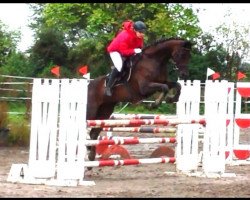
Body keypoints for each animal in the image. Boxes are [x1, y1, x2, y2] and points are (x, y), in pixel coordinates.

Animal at [87, 38, 192, 167]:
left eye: (189, 56)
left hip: (105, 112)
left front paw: (172, 99)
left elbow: (175, 85)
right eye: (181, 54)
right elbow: (164, 88)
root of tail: (88, 86)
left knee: (94, 133)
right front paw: (154, 104)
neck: (155, 60)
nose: (184, 75)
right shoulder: (145, 87)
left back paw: (91, 157)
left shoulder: (162, 81)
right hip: (91, 111)